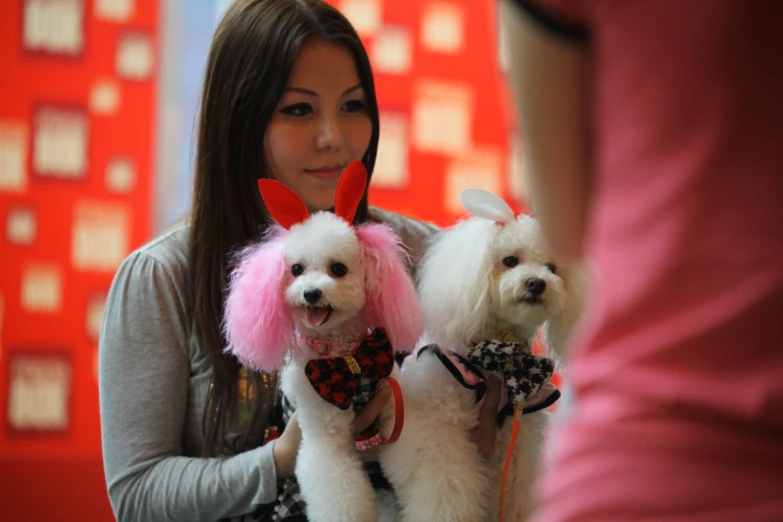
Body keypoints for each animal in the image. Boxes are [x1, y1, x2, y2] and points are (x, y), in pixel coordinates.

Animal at [224, 160, 422, 520]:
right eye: (296, 269)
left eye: (339, 269)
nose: (311, 293)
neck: (349, 361)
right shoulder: (325, 436)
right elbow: (339, 489)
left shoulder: (395, 415)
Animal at [376, 188, 584, 520]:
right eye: (509, 261)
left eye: (552, 269)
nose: (537, 283)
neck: (500, 351)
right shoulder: (441, 431)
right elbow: (446, 490)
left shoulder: (519, 436)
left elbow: (516, 489)